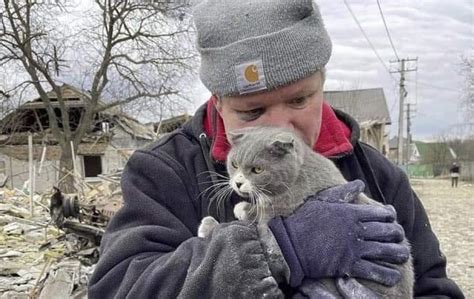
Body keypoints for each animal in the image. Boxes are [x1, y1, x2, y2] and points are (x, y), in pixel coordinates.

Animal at [198, 127, 412, 299]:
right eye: (234, 164)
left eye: (257, 169)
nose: (238, 183)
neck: (298, 173)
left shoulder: (280, 213)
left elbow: (257, 226)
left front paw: (214, 223)